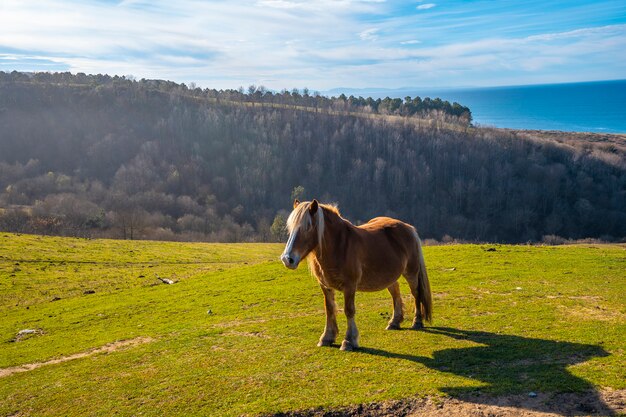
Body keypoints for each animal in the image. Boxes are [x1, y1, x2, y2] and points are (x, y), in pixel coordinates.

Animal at [280, 200, 432, 350]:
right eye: (290, 227)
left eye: (308, 227)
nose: (287, 259)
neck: (339, 246)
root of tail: (408, 228)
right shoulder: (325, 286)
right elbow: (329, 309)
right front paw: (327, 337)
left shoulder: (350, 286)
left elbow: (349, 310)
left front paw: (349, 341)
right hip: (390, 276)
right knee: (395, 293)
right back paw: (394, 322)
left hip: (411, 273)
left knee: (416, 293)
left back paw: (417, 322)